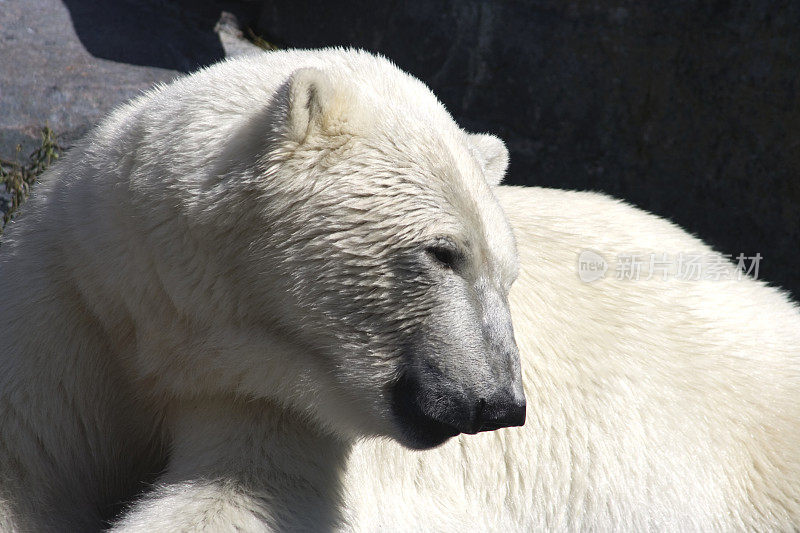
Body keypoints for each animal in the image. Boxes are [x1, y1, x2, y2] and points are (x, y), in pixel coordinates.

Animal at [0, 47, 524, 528]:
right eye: (442, 253)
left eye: (507, 275)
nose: (501, 405)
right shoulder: (75, 301)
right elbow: (25, 459)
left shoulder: (275, 399)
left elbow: (242, 494)